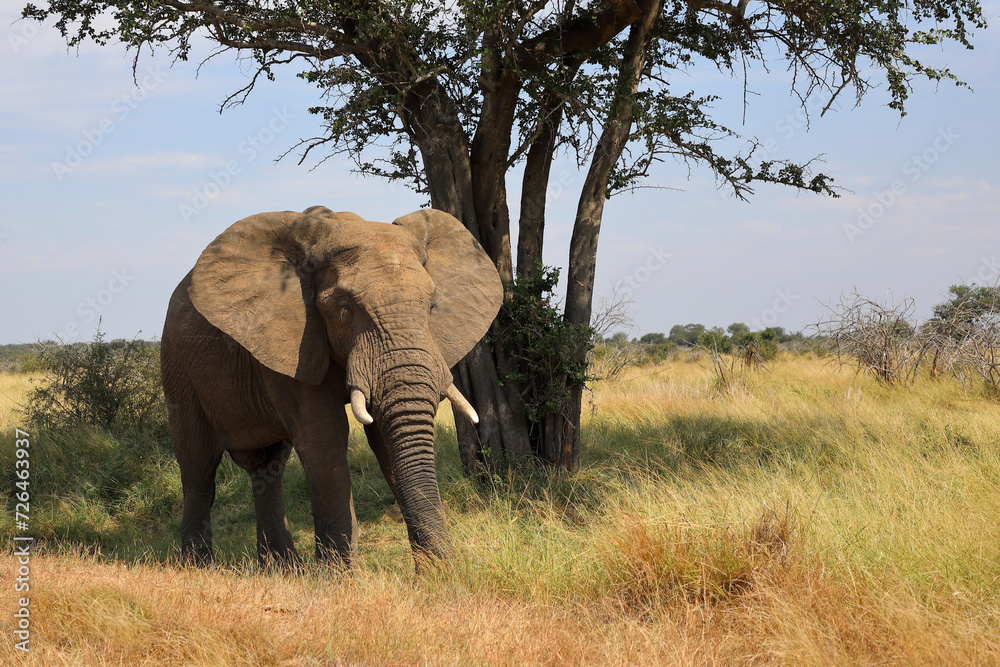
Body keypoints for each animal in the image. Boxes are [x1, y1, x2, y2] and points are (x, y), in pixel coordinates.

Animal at [160, 205, 502, 570]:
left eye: (432, 305)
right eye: (344, 308)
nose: (438, 570)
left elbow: (384, 436)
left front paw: (434, 574)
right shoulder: (293, 340)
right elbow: (324, 436)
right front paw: (338, 578)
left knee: (267, 467)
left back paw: (284, 570)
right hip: (178, 367)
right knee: (198, 467)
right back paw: (198, 568)